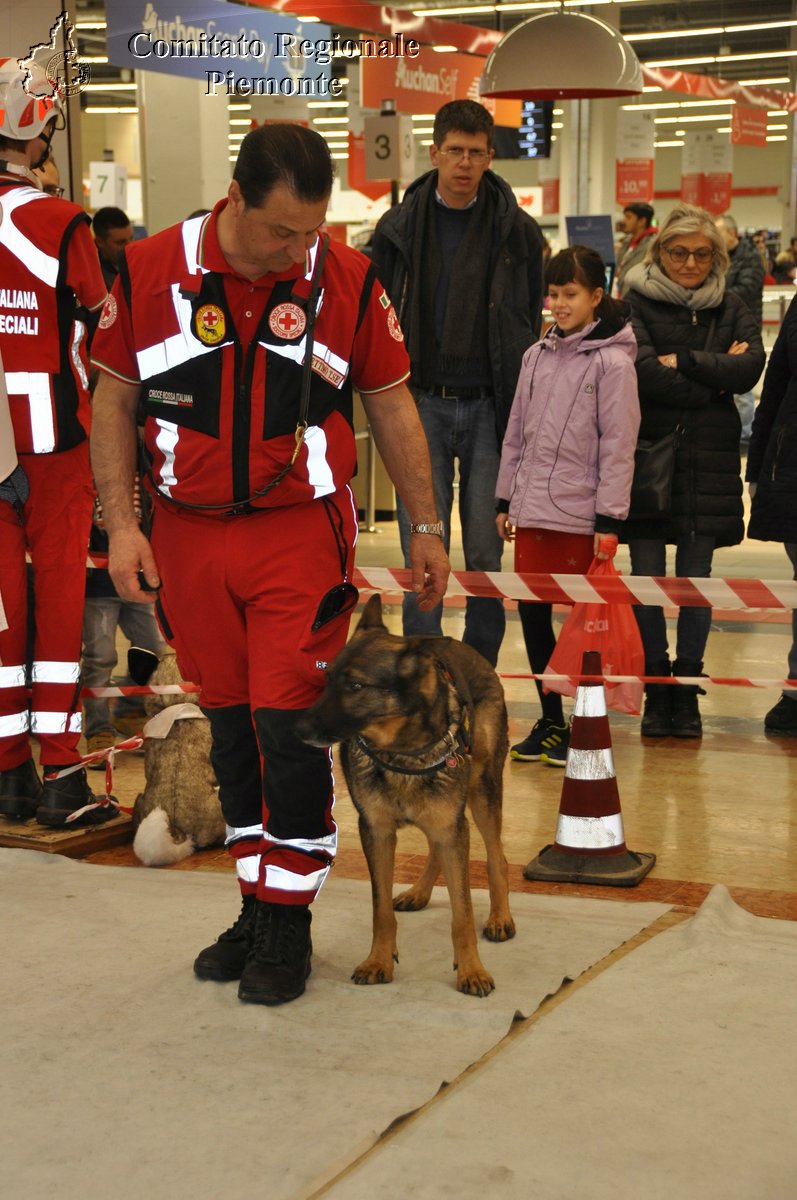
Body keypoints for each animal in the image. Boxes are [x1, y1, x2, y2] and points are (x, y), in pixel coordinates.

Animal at [295, 595, 513, 998]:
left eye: (355, 685)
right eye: (327, 680)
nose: (298, 729)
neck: (401, 751)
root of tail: (468, 650)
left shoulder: (451, 827)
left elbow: (462, 914)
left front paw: (471, 970)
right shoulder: (378, 833)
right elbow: (380, 910)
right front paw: (378, 961)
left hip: (482, 795)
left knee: (497, 859)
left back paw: (500, 916)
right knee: (437, 852)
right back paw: (419, 892)